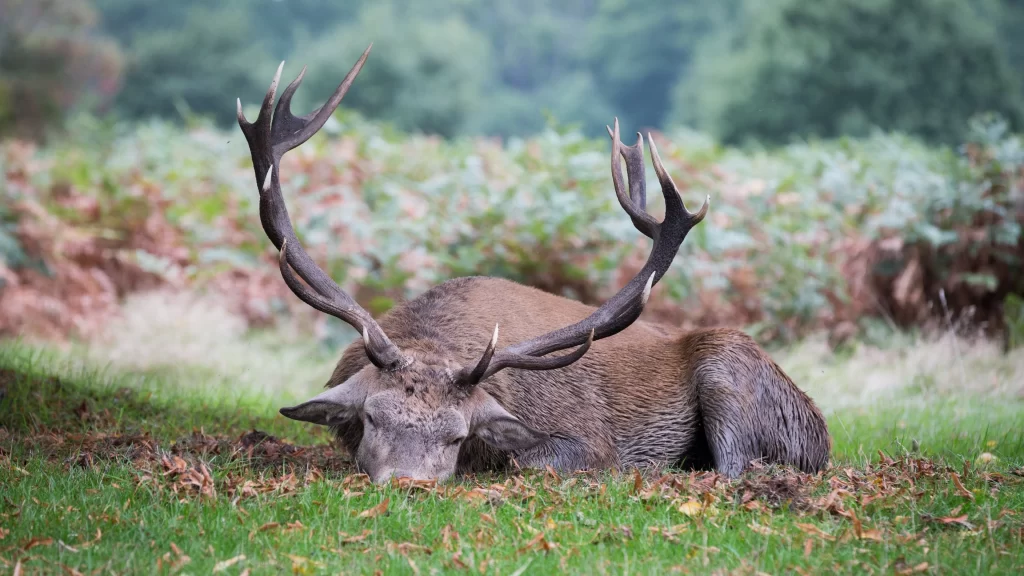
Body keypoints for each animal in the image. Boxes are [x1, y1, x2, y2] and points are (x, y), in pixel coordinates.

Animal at [236, 45, 831, 484]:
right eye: (371, 418)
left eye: (458, 435)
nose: (409, 482)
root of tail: (823, 436)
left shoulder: (587, 441)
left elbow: (532, 462)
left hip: (731, 370)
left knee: (733, 468)